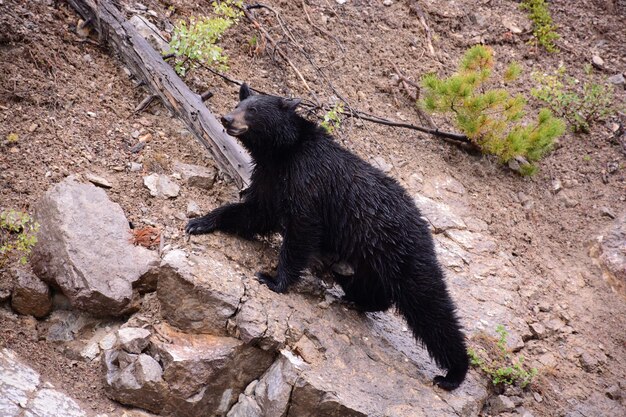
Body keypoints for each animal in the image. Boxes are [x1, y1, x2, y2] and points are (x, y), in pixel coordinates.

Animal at [185, 83, 468, 390]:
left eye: (254, 110)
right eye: (239, 105)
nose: (226, 119)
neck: (283, 152)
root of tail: (423, 224)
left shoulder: (308, 182)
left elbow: (301, 231)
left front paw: (273, 279)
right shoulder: (270, 178)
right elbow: (255, 212)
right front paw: (200, 222)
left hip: (403, 252)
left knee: (430, 305)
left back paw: (453, 374)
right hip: (365, 259)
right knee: (372, 287)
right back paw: (359, 301)